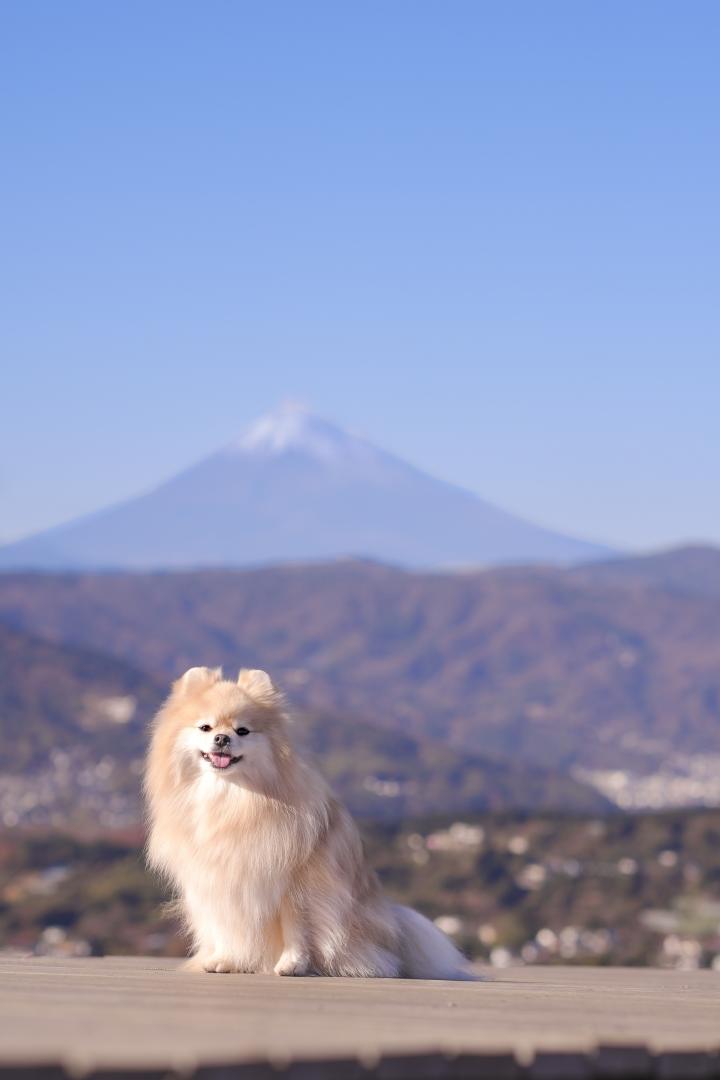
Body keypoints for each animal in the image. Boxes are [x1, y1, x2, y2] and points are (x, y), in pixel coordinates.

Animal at [143, 665, 474, 980]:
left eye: (243, 730)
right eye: (206, 727)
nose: (222, 738)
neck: (230, 799)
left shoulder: (296, 886)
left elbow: (297, 931)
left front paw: (292, 964)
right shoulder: (217, 881)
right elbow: (225, 925)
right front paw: (226, 960)